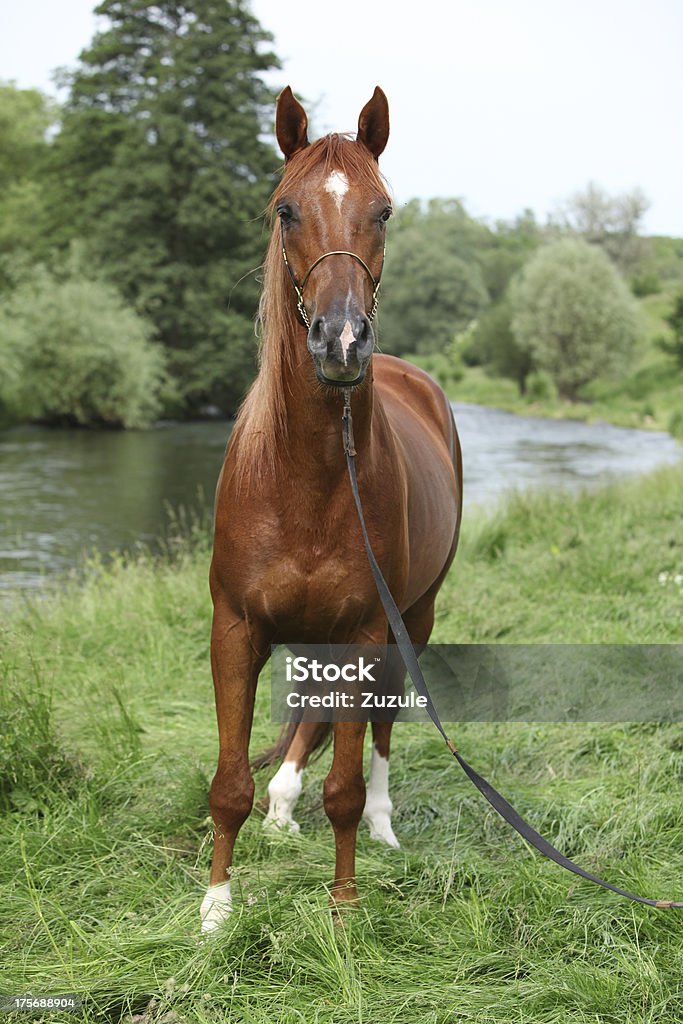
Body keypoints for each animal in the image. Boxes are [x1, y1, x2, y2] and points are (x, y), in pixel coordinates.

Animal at [200, 90, 462, 937]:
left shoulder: (365, 631)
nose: (342, 341)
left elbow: (342, 786)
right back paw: (282, 805)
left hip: (413, 618)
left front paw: (344, 908)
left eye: (383, 211)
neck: (305, 477)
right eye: (286, 210)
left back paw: (382, 824)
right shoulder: (234, 631)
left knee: (377, 731)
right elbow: (228, 783)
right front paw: (214, 910)